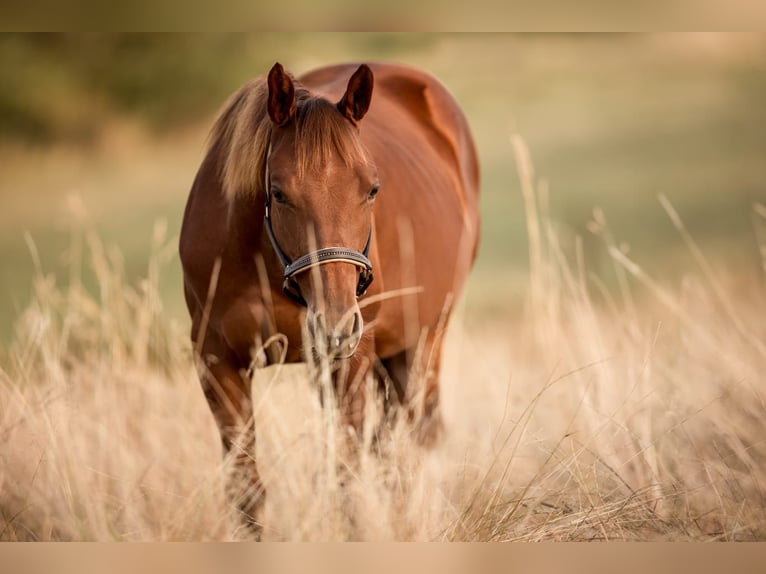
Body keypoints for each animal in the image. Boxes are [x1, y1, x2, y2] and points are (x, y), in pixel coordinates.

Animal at [179, 61, 480, 536]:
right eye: (279, 192)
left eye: (372, 189)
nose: (336, 324)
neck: (267, 261)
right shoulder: (216, 362)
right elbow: (246, 490)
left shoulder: (350, 363)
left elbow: (347, 482)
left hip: (425, 338)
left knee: (410, 442)